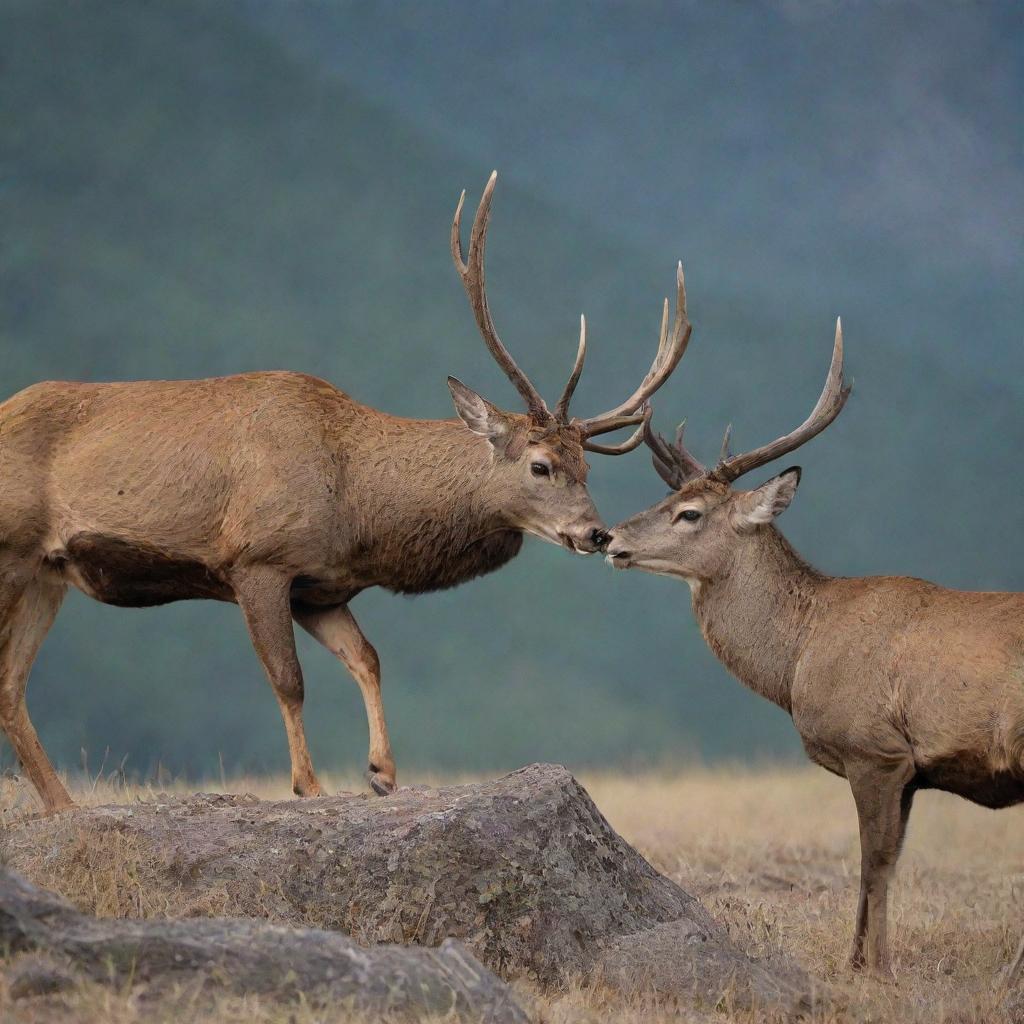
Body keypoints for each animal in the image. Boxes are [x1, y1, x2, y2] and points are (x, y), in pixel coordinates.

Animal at [0, 176, 692, 815]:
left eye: (588, 468)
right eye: (541, 465)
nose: (596, 533)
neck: (357, 508)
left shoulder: (321, 588)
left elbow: (368, 657)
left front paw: (383, 773)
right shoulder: (256, 560)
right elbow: (290, 680)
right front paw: (308, 784)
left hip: (48, 574)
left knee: (11, 682)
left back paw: (63, 805)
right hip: (12, 552)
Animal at [602, 325, 1024, 974]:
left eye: (690, 513)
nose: (610, 538)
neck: (800, 656)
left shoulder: (876, 749)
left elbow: (875, 864)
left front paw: (876, 967)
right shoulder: (908, 772)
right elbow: (882, 864)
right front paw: (856, 961)